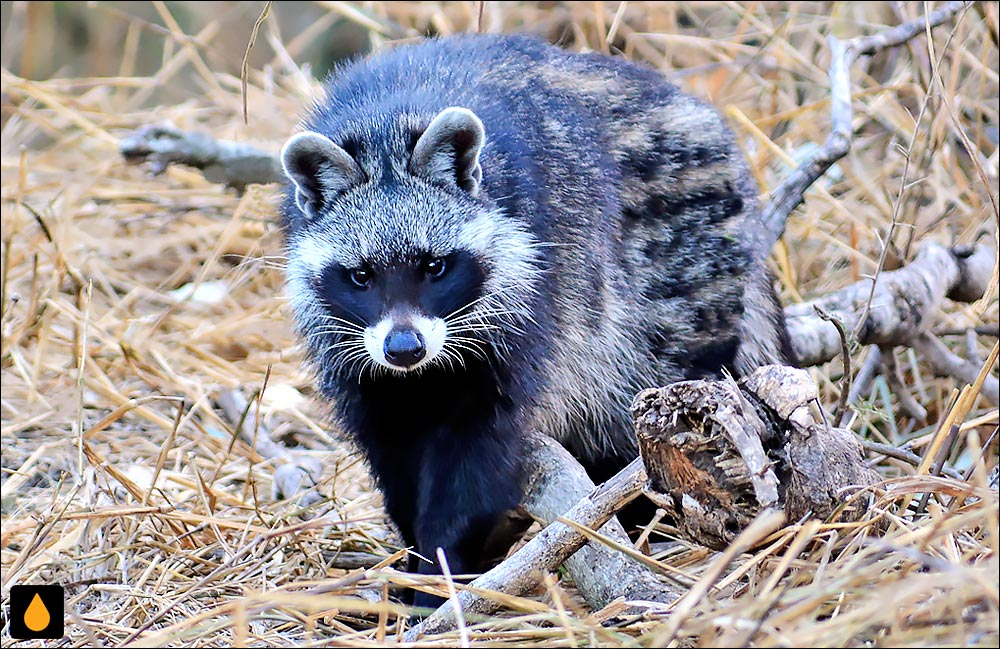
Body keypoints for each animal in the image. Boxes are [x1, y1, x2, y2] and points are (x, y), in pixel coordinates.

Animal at [280, 34, 788, 604]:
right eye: (361, 276)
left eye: (435, 267)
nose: (405, 349)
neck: (385, 125)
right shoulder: (356, 350)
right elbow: (392, 439)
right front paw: (416, 553)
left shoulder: (531, 291)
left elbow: (480, 444)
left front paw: (443, 563)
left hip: (677, 273)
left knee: (654, 383)